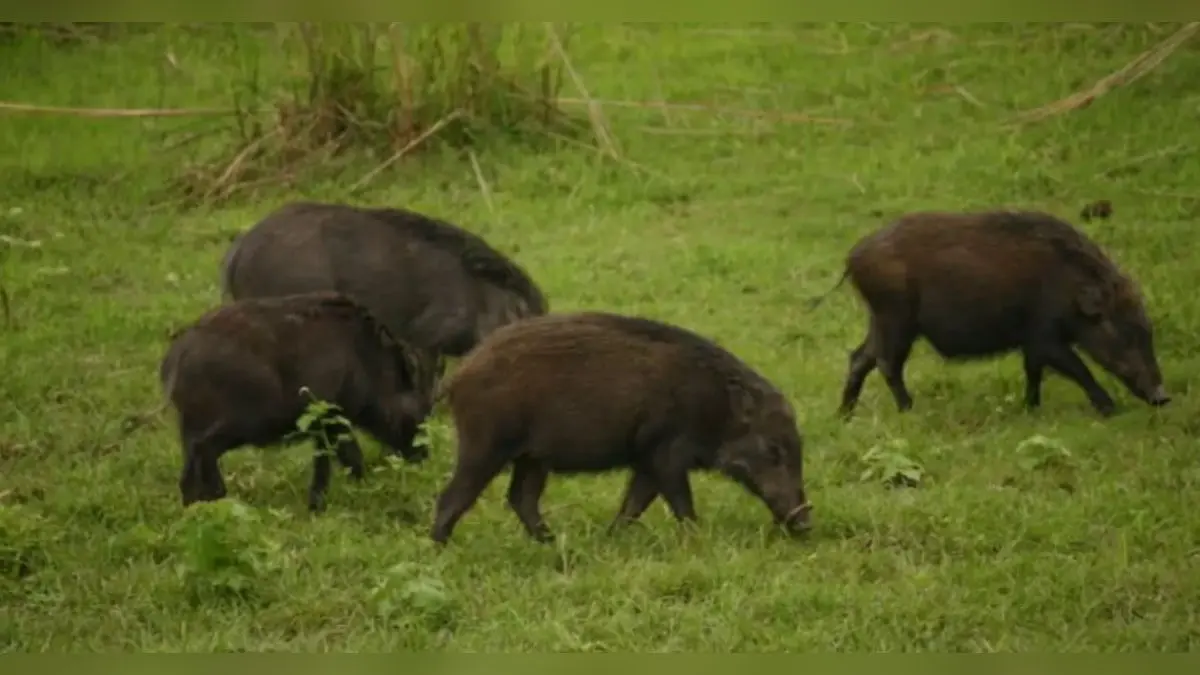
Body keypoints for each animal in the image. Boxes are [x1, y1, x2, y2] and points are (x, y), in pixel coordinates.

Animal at [159, 291, 443, 513]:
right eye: (419, 409)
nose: (423, 456)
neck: (368, 363)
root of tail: (176, 359)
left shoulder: (323, 424)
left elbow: (327, 462)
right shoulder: (331, 417)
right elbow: (349, 458)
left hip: (193, 427)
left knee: (189, 471)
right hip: (246, 422)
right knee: (203, 451)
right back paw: (218, 497)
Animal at [428, 311, 812, 544]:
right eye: (774, 450)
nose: (804, 520)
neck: (715, 408)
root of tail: (456, 378)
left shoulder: (646, 459)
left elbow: (634, 504)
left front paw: (610, 540)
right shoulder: (665, 453)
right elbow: (680, 503)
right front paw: (698, 542)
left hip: (533, 458)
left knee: (521, 498)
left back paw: (554, 543)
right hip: (485, 445)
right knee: (453, 497)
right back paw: (441, 549)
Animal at [808, 210, 1169, 418]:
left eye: (1148, 330)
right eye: (1121, 332)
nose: (1163, 397)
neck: (1069, 286)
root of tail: (853, 257)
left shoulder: (1032, 342)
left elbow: (1033, 371)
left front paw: (1031, 409)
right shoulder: (1045, 335)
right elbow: (1078, 368)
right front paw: (1111, 410)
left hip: (882, 320)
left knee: (860, 357)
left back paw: (844, 414)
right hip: (896, 318)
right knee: (886, 364)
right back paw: (908, 411)